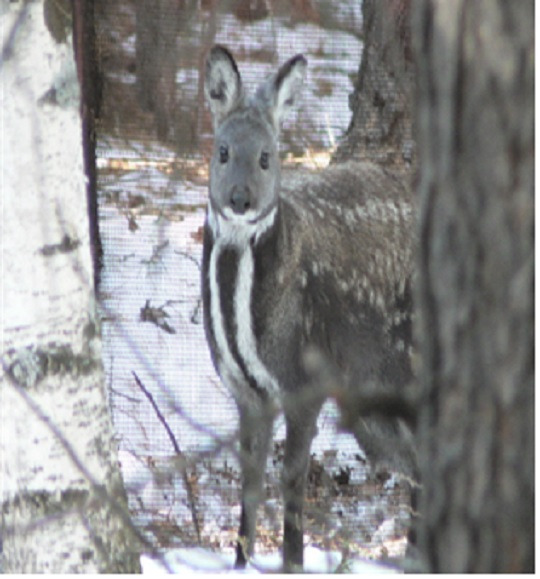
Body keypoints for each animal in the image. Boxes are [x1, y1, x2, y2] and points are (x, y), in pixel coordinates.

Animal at [202, 45, 418, 572]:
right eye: (223, 151)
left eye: (266, 156)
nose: (240, 199)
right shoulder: (246, 392)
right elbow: (251, 481)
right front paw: (239, 563)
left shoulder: (306, 382)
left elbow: (293, 480)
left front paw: (293, 562)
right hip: (371, 405)